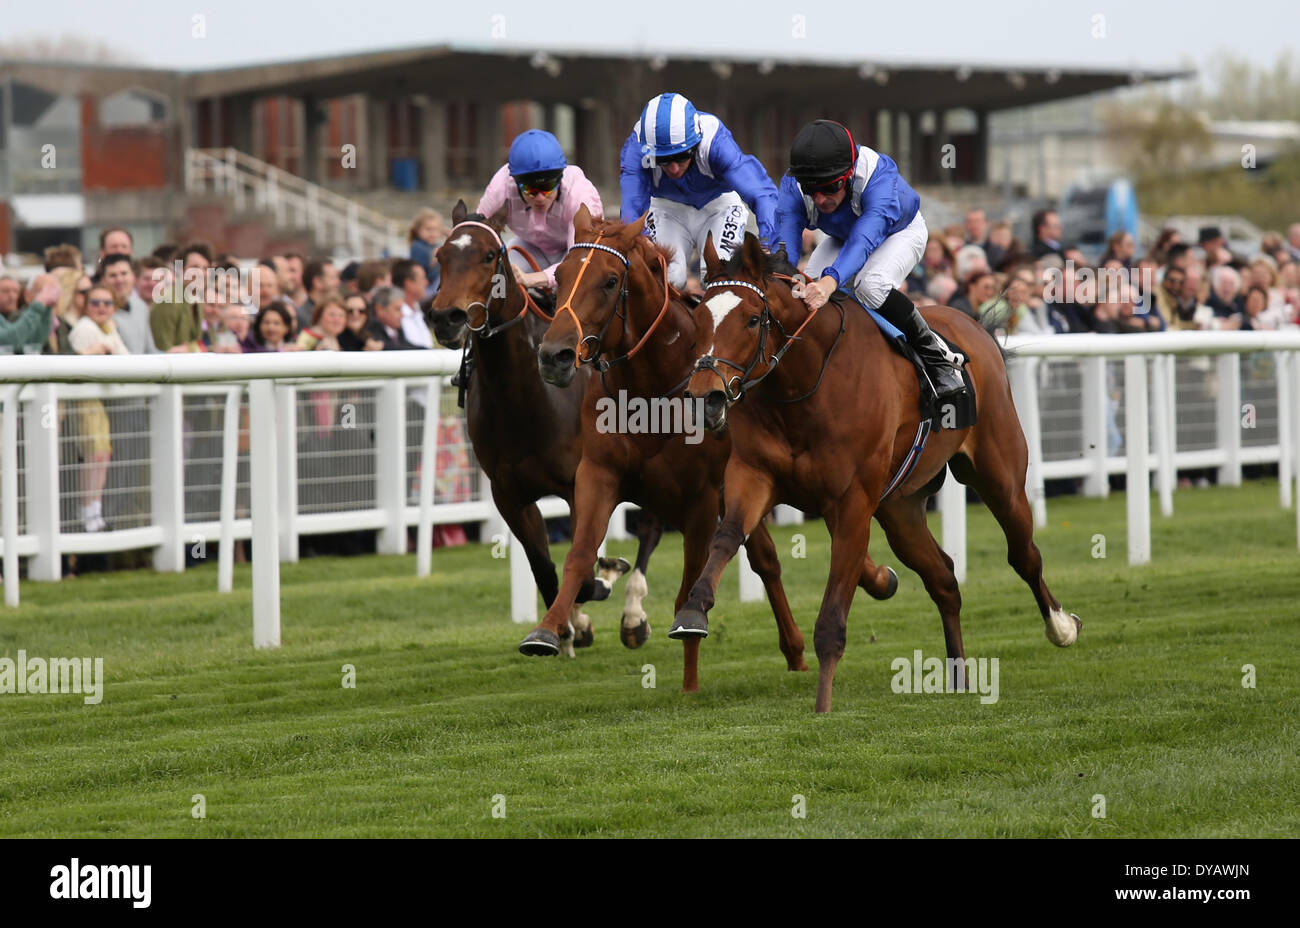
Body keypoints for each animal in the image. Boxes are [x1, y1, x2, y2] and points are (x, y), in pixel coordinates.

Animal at [431, 202, 665, 649]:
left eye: (489, 255)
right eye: (440, 256)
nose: (446, 317)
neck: (523, 401)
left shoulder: (579, 484)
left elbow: (587, 569)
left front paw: (606, 577)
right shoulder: (509, 495)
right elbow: (544, 567)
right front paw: (570, 627)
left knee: (650, 525)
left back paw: (634, 615)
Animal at [520, 207, 806, 686]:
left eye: (610, 281)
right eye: (558, 274)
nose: (553, 356)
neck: (649, 390)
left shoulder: (701, 498)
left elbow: (688, 588)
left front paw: (689, 684)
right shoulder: (598, 474)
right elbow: (579, 555)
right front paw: (548, 631)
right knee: (765, 556)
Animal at [676, 235, 1081, 712]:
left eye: (752, 318)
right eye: (699, 317)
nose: (705, 398)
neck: (802, 385)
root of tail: (974, 326)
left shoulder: (853, 501)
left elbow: (834, 610)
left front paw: (823, 707)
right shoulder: (753, 474)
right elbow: (726, 537)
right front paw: (693, 611)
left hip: (1000, 477)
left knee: (1023, 555)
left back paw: (1061, 627)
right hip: (900, 509)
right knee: (944, 578)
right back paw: (959, 675)